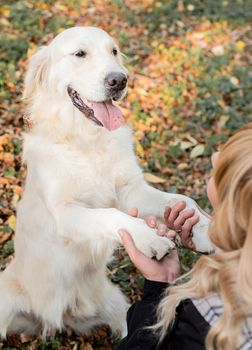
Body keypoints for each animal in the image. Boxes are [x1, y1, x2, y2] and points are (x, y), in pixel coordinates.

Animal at [0, 26, 213, 340]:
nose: (119, 80)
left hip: (118, 306)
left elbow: (183, 200)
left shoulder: (132, 190)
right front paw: (149, 238)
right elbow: (110, 214)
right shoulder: (64, 214)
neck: (87, 141)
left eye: (113, 51)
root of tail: (56, 320)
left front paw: (204, 230)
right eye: (79, 53)